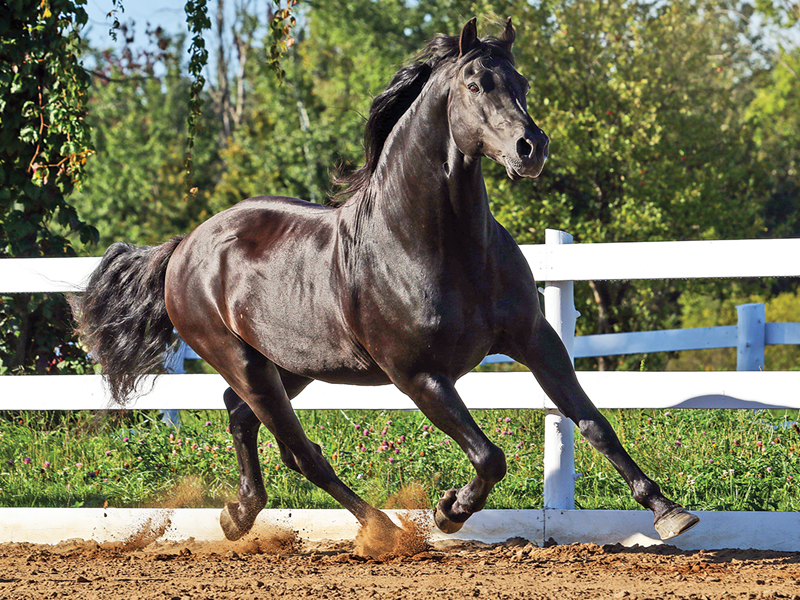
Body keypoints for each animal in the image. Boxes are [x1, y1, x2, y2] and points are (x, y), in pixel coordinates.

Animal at [70, 18, 699, 546]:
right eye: (476, 84)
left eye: (521, 82)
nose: (532, 148)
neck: (438, 246)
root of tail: (184, 247)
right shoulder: (418, 375)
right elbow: (489, 457)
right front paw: (449, 511)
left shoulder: (535, 341)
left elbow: (593, 422)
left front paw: (668, 511)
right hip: (241, 360)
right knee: (301, 451)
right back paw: (381, 529)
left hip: (288, 366)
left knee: (241, 415)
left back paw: (239, 515)